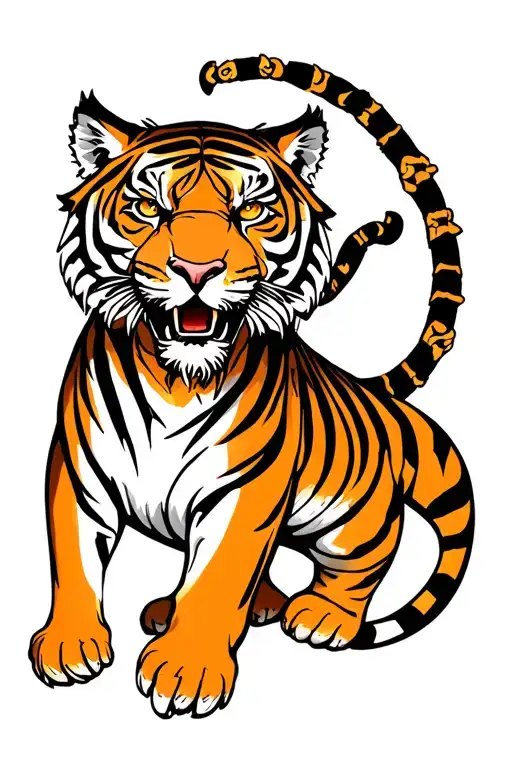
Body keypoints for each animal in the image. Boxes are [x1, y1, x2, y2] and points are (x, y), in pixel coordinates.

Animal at [29, 54, 474, 720]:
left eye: (251, 211)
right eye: (150, 208)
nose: (197, 270)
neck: (177, 378)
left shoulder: (249, 484)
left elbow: (220, 574)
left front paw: (186, 673)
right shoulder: (80, 469)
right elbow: (73, 556)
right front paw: (69, 644)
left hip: (353, 521)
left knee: (366, 559)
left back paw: (320, 617)